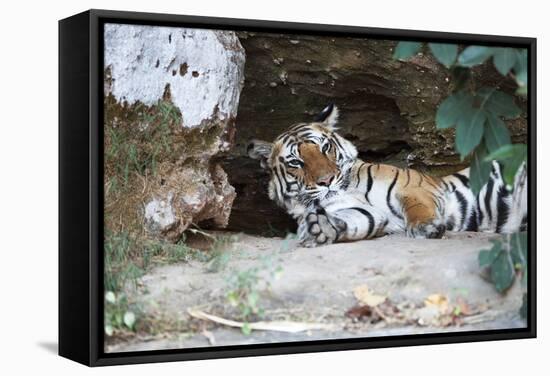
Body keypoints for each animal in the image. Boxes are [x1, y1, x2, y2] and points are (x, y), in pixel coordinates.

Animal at [248, 104, 528, 248]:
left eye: (325, 147)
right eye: (296, 162)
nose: (326, 181)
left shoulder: (415, 186)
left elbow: (417, 207)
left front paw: (425, 227)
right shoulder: (367, 213)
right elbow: (351, 220)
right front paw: (321, 228)